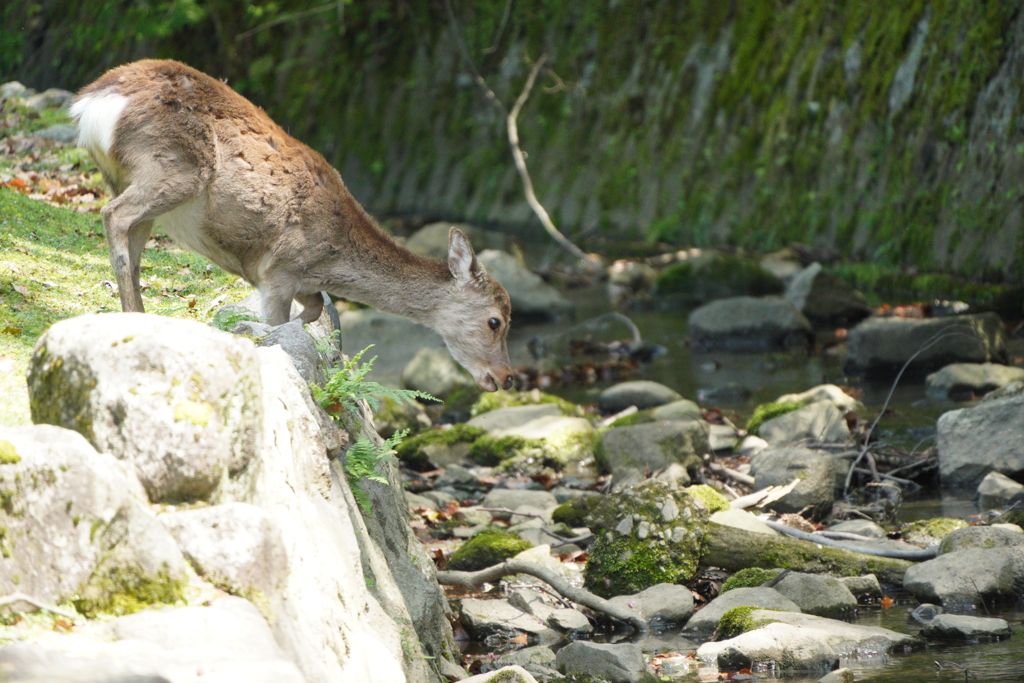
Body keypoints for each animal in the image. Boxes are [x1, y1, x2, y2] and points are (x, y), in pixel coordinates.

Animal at [73, 60, 516, 389]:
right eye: (495, 321)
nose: (506, 377)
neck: (333, 258)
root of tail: (91, 103)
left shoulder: (300, 280)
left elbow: (316, 310)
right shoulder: (279, 269)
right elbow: (279, 322)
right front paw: (258, 333)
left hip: (129, 178)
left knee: (130, 239)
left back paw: (137, 317)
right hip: (174, 168)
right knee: (114, 214)